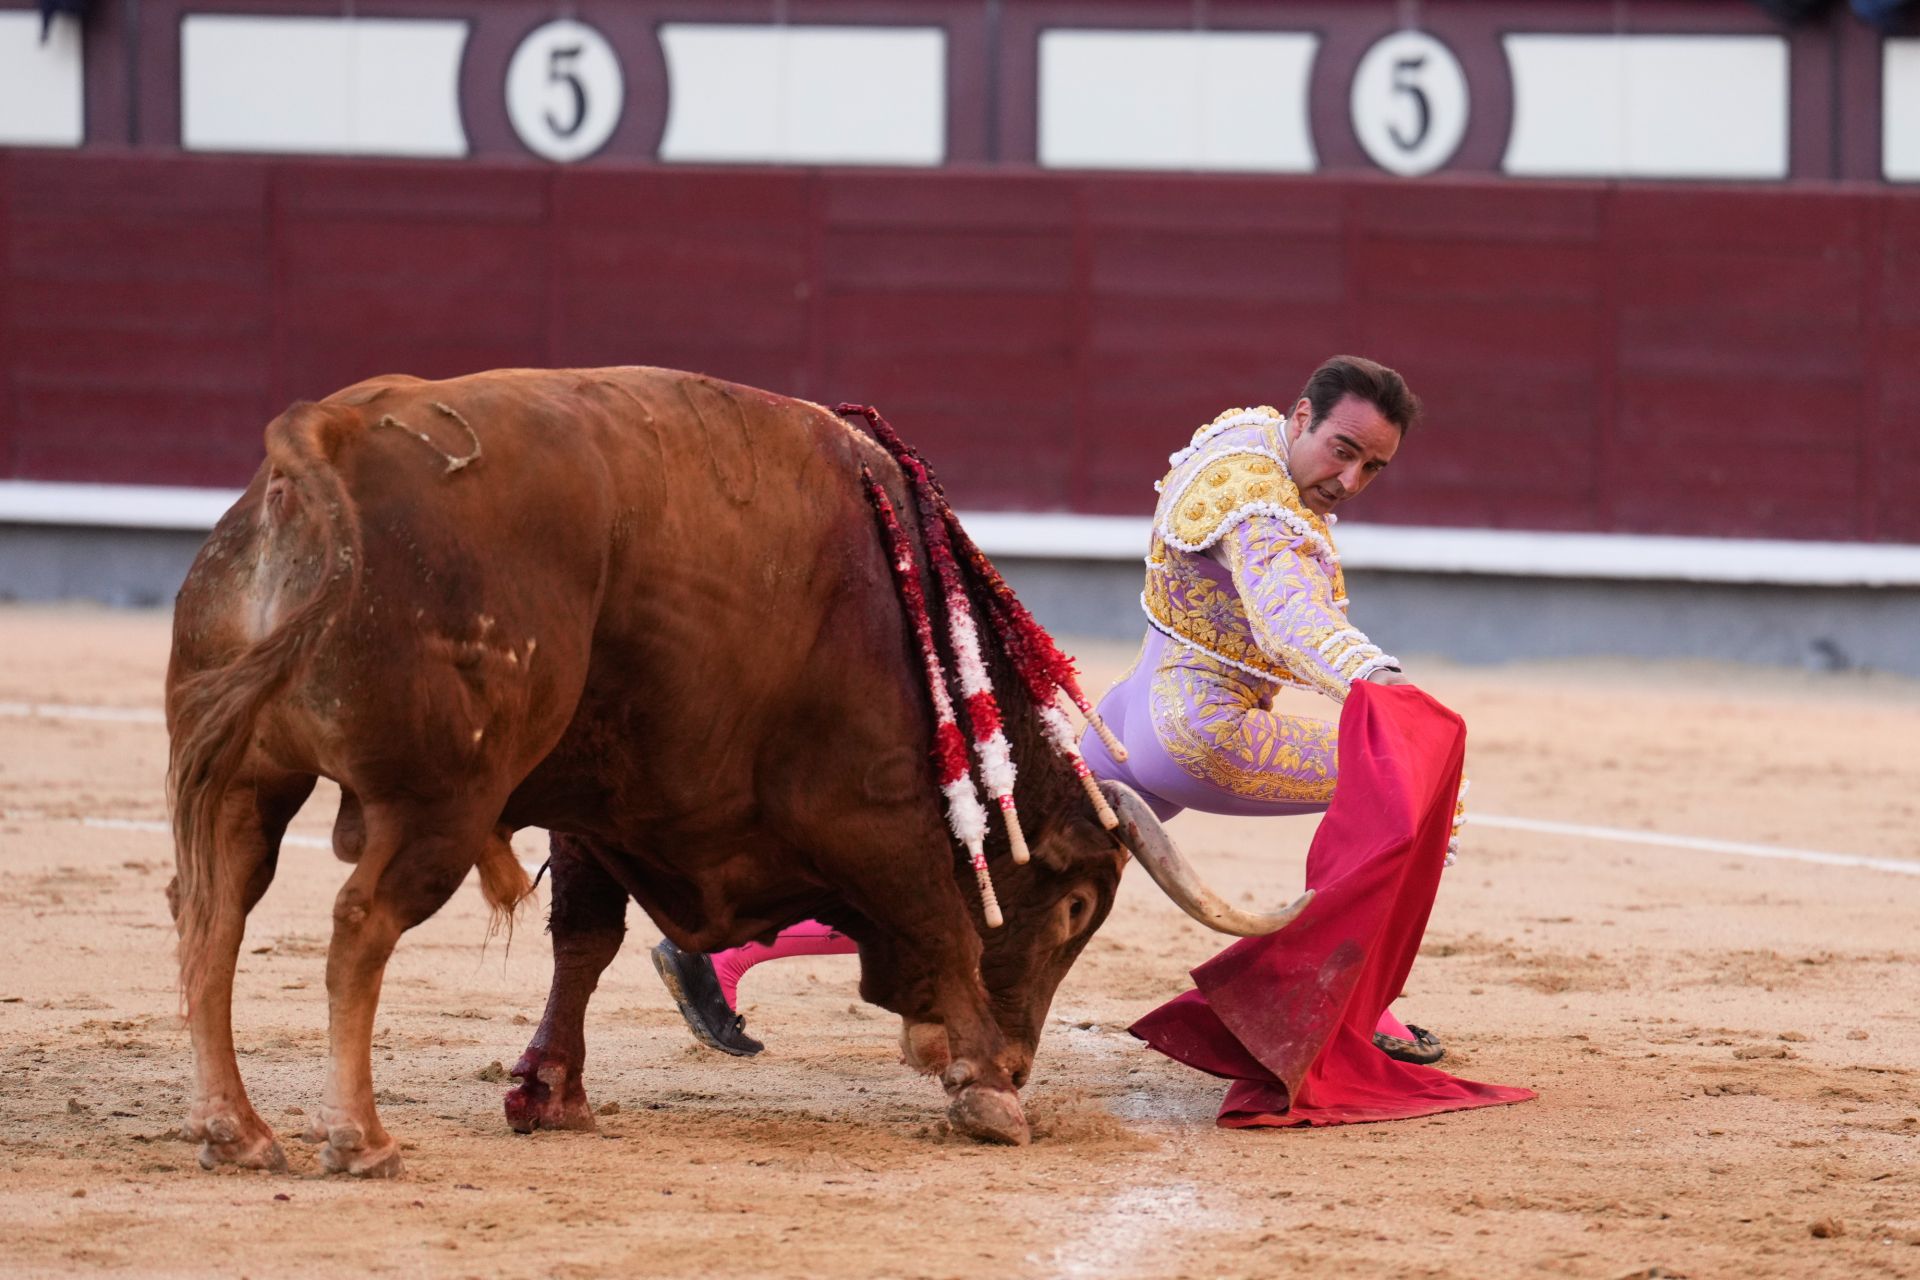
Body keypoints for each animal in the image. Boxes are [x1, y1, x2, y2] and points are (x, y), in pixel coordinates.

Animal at [168, 364, 1305, 1174]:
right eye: (1075, 908)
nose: (1026, 1061)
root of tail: (331, 439)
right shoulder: (874, 808)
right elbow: (940, 915)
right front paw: (987, 1087)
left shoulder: (596, 805)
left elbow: (584, 939)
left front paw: (549, 1091)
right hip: (437, 801)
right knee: (358, 924)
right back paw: (358, 1139)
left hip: (246, 779)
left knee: (213, 911)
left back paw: (239, 1130)